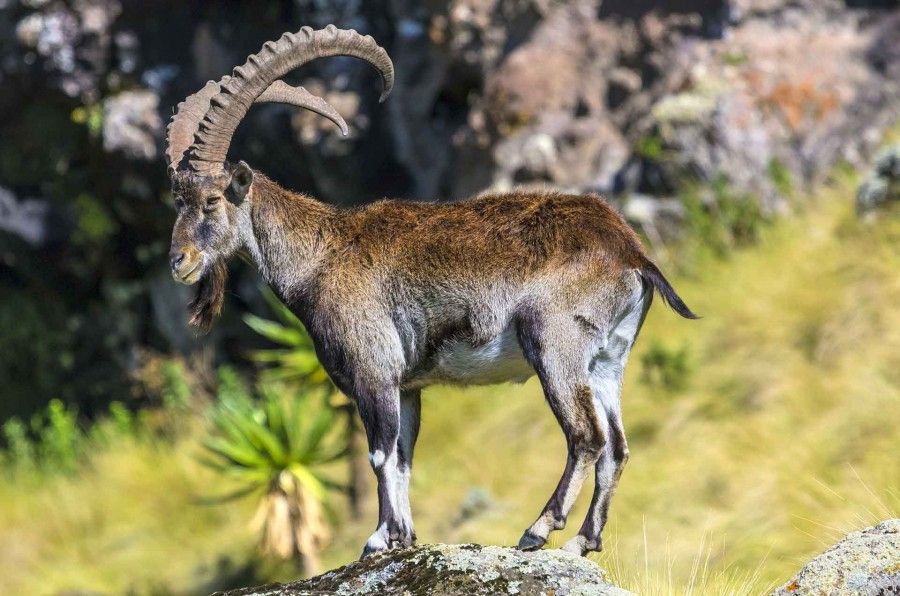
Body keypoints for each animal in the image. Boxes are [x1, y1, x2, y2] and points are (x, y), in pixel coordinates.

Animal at [165, 25, 697, 558]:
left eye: (211, 200)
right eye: (178, 202)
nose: (178, 262)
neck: (320, 256)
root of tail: (630, 251)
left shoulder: (373, 371)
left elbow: (380, 455)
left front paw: (378, 539)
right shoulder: (407, 385)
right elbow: (402, 459)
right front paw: (403, 536)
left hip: (555, 344)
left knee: (587, 437)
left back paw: (538, 529)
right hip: (608, 359)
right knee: (617, 447)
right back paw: (583, 542)